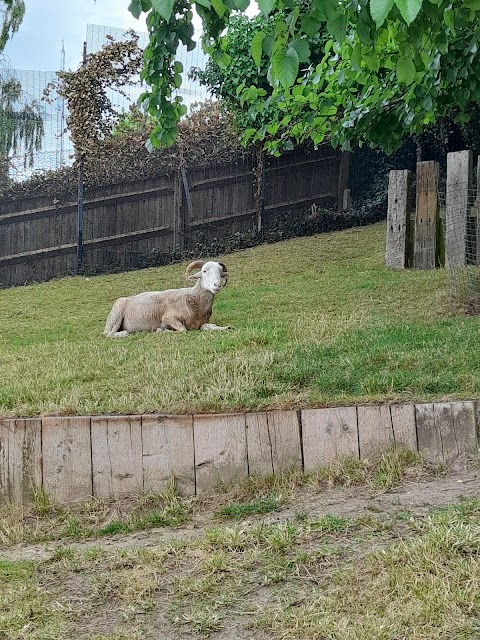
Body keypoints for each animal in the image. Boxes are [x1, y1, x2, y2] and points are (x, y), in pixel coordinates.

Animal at [103, 260, 231, 340]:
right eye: (204, 271)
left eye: (220, 272)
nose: (217, 285)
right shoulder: (167, 318)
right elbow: (183, 329)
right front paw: (162, 331)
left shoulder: (202, 323)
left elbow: (207, 326)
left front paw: (225, 327)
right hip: (116, 317)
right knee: (110, 334)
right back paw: (124, 333)